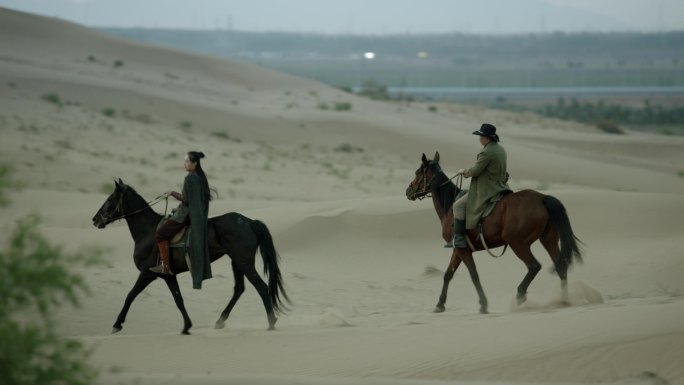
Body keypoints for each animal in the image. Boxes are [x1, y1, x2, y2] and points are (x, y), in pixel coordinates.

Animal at [91, 179, 288, 332]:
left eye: (110, 198)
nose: (95, 219)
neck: (147, 231)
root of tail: (249, 222)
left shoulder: (147, 273)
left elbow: (130, 295)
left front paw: (117, 324)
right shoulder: (168, 275)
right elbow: (178, 299)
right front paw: (187, 326)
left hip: (243, 262)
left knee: (261, 287)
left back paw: (271, 322)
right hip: (237, 262)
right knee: (239, 289)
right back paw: (220, 321)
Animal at [406, 152, 584, 314]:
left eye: (417, 172)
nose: (408, 191)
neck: (450, 205)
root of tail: (542, 198)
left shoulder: (463, 250)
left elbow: (474, 275)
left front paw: (483, 304)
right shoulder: (457, 249)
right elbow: (448, 274)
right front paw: (440, 304)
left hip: (518, 243)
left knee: (534, 266)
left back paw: (520, 295)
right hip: (548, 240)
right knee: (561, 267)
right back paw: (563, 300)